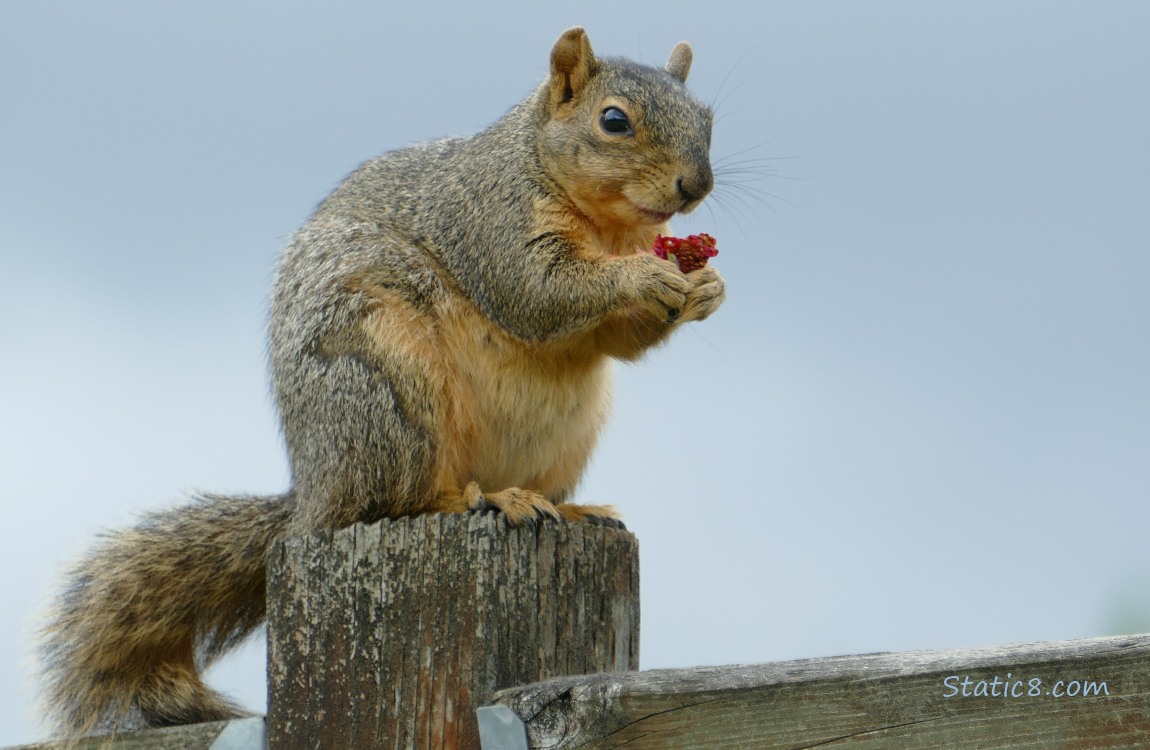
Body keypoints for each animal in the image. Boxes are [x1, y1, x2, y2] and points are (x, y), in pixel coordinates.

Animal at [39, 27, 724, 739]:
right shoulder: (489, 223)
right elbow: (537, 291)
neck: (607, 222)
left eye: (708, 118)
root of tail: (314, 490)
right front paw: (643, 277)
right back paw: (480, 499)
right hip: (388, 393)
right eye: (613, 121)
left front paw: (705, 287)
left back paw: (570, 507)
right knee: (392, 501)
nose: (695, 185)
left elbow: (616, 339)